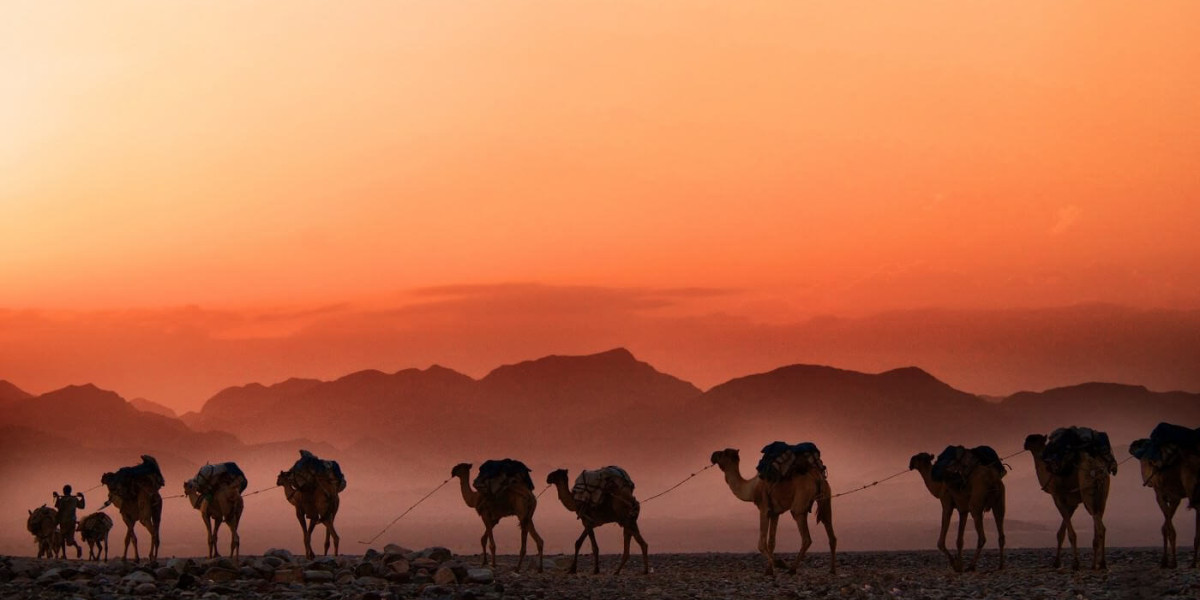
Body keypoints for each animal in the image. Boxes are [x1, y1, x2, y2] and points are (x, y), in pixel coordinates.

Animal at [705, 451, 840, 576]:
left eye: (722, 453)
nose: (712, 455)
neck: (751, 488)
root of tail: (817, 477)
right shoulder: (775, 513)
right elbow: (771, 542)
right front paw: (769, 569)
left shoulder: (763, 509)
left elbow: (761, 544)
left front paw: (779, 564)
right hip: (826, 498)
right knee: (829, 529)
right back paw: (832, 570)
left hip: (800, 501)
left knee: (806, 536)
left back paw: (792, 569)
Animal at [1022, 434, 1113, 568]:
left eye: (1032, 439)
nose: (1025, 444)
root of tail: (1099, 471)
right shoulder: (1072, 503)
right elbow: (1061, 532)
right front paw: (1056, 562)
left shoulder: (1058, 497)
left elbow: (1069, 532)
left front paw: (1075, 563)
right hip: (1102, 498)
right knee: (1099, 522)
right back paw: (1096, 564)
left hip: (1088, 496)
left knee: (1100, 526)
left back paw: (1101, 563)